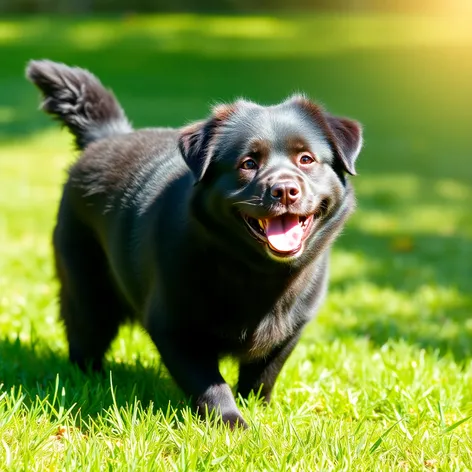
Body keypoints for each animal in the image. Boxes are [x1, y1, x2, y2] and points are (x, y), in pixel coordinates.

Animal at [26, 60, 362, 430]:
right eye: (248, 163)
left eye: (306, 159)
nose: (285, 190)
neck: (257, 273)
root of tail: (108, 136)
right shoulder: (174, 328)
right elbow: (210, 383)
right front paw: (231, 422)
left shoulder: (290, 331)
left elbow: (263, 375)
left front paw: (258, 408)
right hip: (87, 294)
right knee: (85, 338)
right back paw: (92, 380)